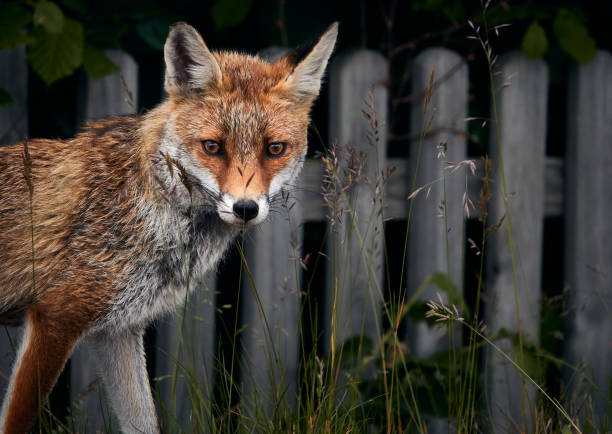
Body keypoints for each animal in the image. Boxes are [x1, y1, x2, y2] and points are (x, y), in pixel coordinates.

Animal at [0, 21, 338, 434]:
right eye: (212, 146)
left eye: (274, 149)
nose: (245, 208)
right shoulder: (59, 315)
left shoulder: (117, 330)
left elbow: (143, 422)